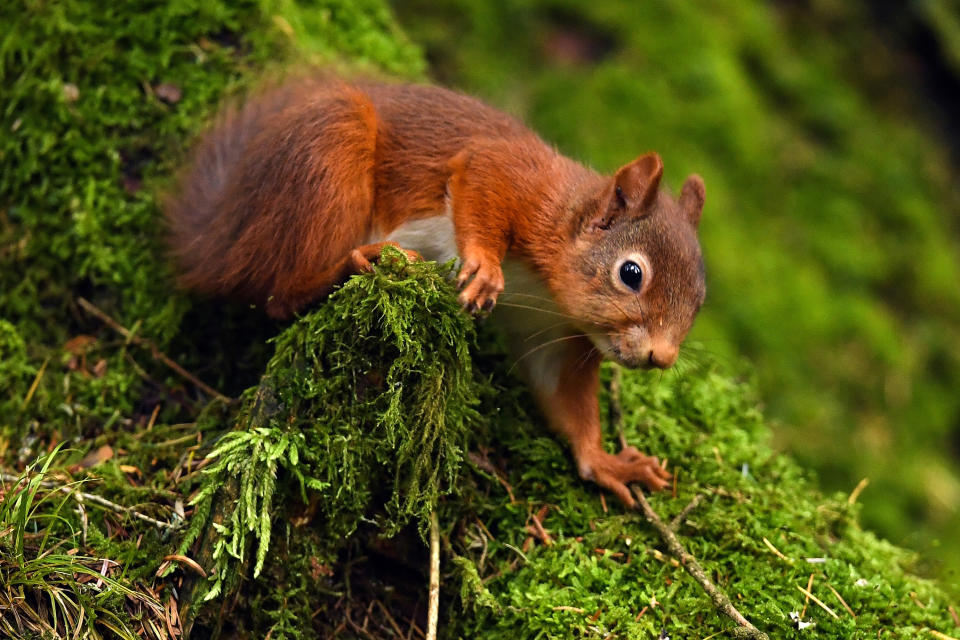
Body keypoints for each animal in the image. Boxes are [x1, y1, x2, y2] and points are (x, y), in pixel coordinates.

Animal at [165, 75, 704, 504]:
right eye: (631, 274)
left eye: (699, 301)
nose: (663, 358)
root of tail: (223, 236)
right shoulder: (516, 179)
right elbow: (482, 185)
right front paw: (484, 266)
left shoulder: (550, 330)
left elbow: (563, 396)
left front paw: (606, 460)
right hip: (329, 154)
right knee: (283, 293)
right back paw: (364, 259)